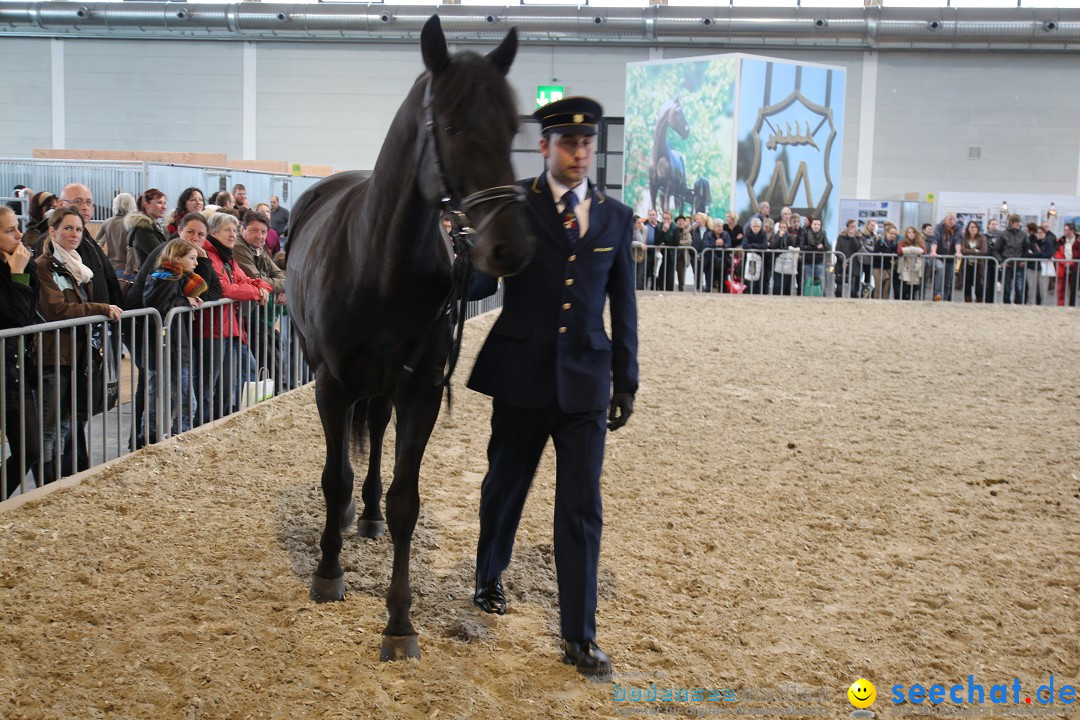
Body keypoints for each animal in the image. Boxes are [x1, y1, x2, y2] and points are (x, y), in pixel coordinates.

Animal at [285, 14, 533, 660]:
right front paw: (328, 573)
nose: (510, 247)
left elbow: (405, 501)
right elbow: (333, 478)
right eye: (450, 125)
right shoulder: (331, 384)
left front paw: (399, 622)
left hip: (384, 389)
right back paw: (351, 517)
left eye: (513, 127)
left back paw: (367, 515)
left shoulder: (419, 390)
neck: (378, 264)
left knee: (374, 435)